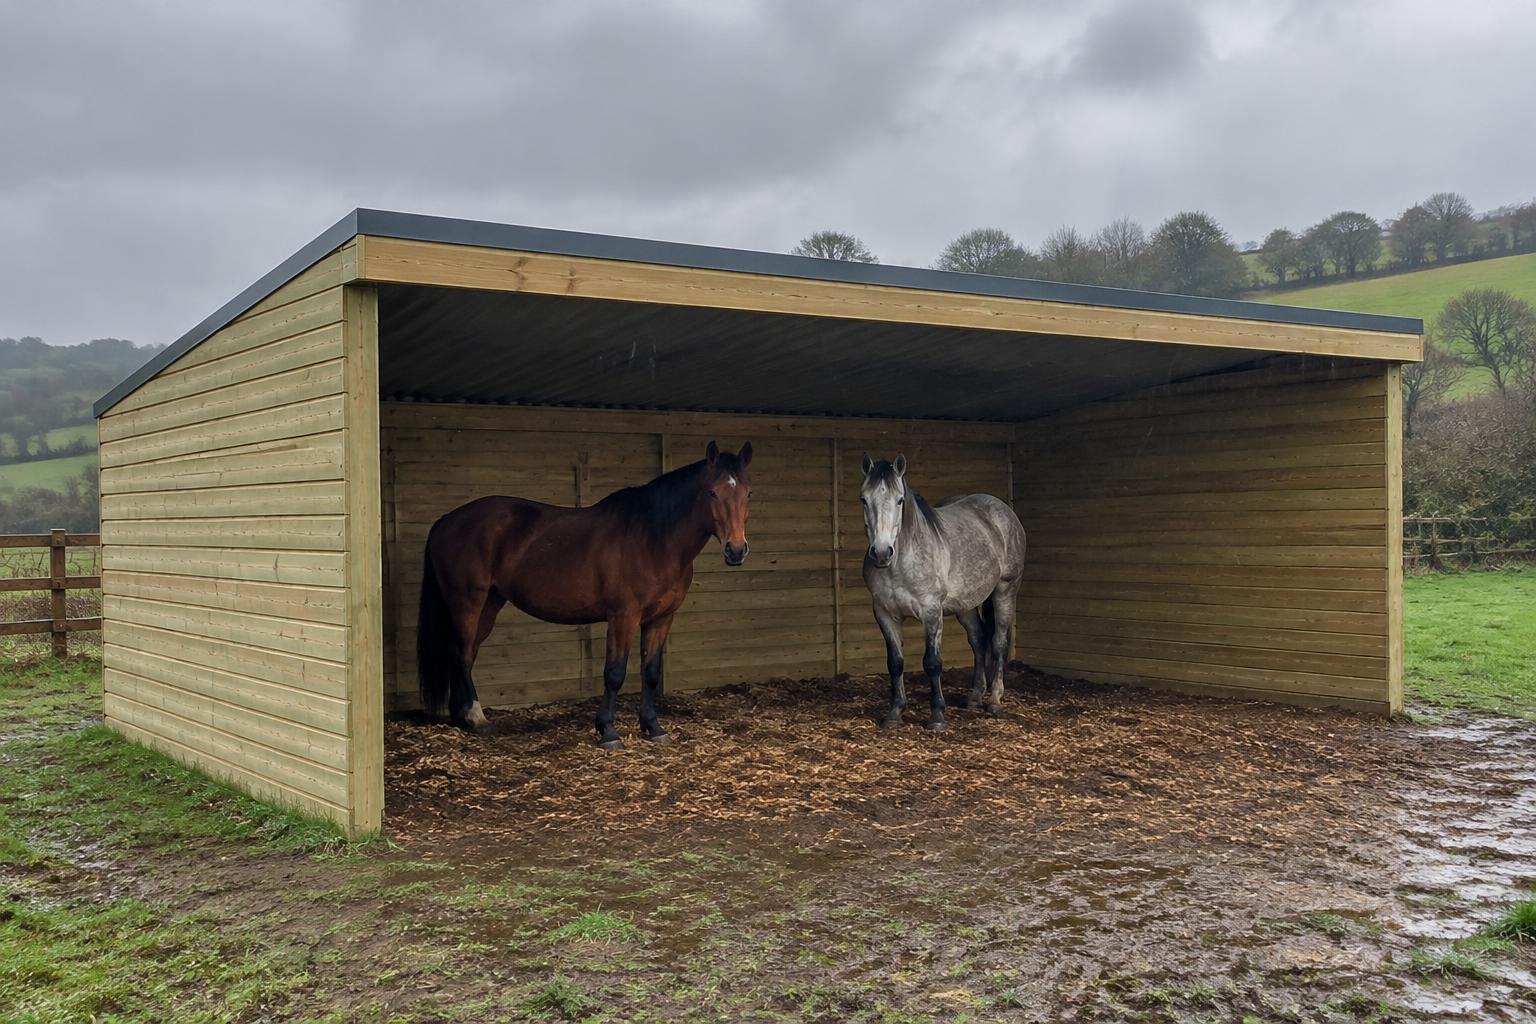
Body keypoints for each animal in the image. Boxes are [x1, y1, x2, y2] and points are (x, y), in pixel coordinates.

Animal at [417, 440, 753, 748]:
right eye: (712, 492)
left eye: (748, 494)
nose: (736, 550)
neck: (653, 538)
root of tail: (446, 520)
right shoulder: (623, 617)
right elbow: (615, 673)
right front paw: (608, 732)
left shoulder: (661, 619)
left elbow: (651, 672)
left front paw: (654, 728)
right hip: (467, 603)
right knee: (461, 653)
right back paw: (476, 717)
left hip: (490, 603)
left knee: (467, 653)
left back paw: (462, 718)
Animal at [859, 453, 1026, 731]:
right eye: (864, 499)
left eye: (900, 499)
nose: (881, 553)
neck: (901, 563)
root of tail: (1003, 512)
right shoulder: (884, 613)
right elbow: (895, 663)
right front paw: (895, 713)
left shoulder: (931, 612)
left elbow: (932, 662)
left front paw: (937, 716)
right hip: (965, 604)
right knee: (979, 640)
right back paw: (974, 698)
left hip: (1005, 590)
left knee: (999, 643)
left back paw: (994, 701)